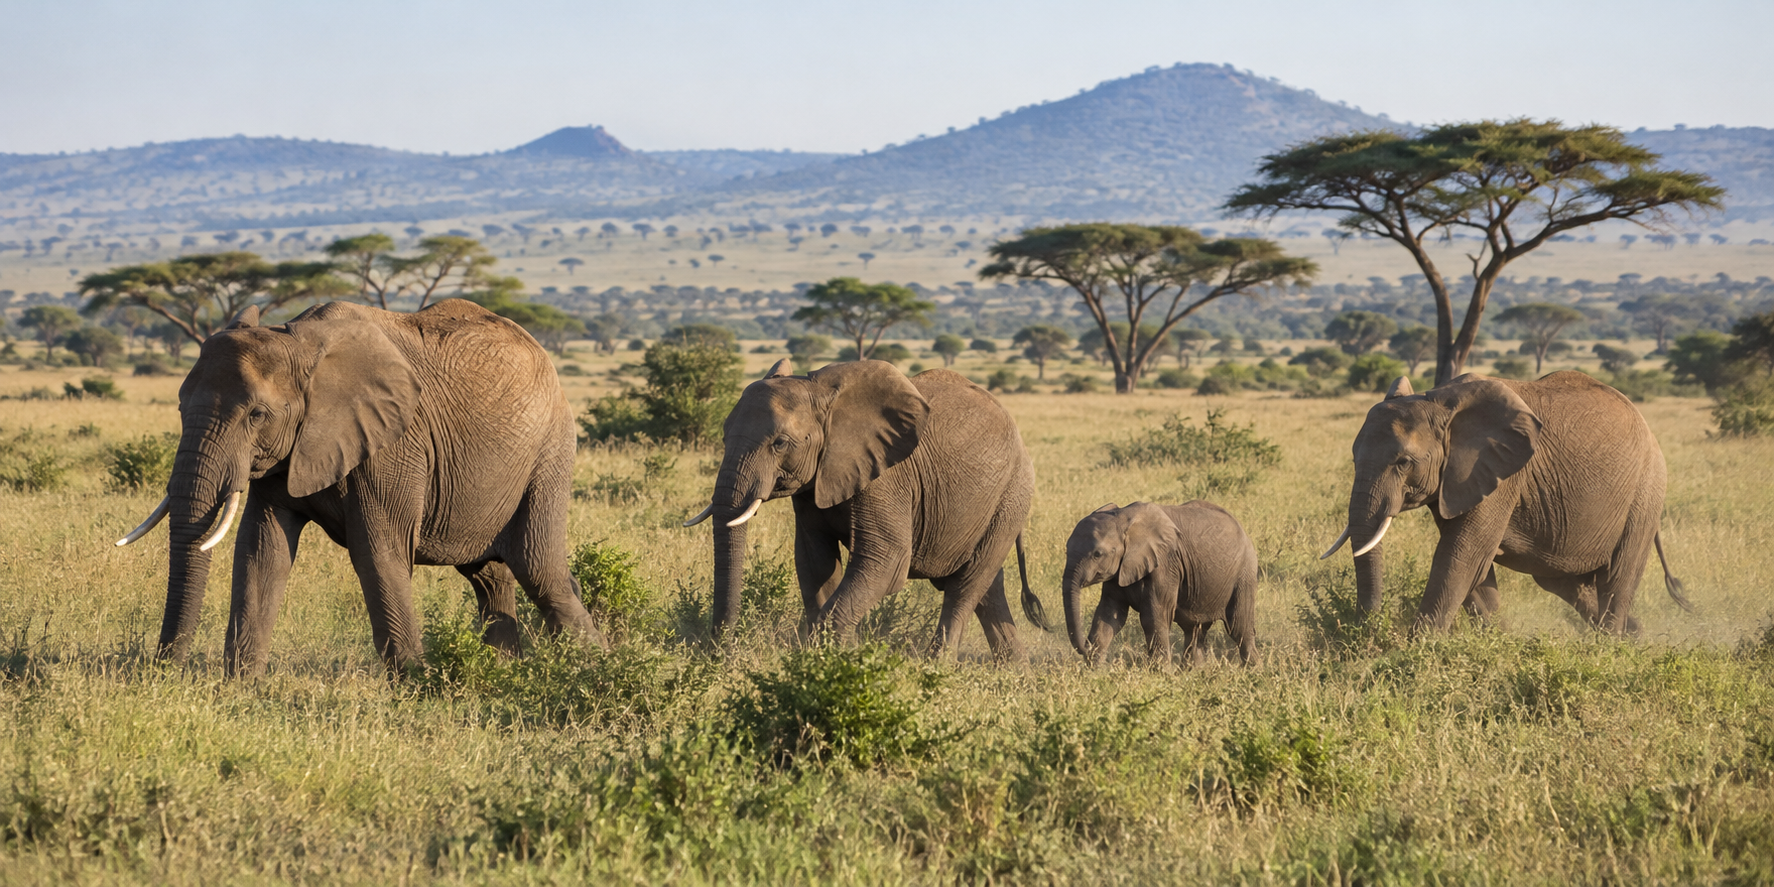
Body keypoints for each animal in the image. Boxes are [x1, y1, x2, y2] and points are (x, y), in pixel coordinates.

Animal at [114, 300, 604, 676]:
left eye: (256, 414)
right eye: (180, 405)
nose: (164, 671)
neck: (299, 342)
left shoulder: (393, 445)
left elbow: (378, 552)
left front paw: (415, 689)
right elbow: (261, 548)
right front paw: (240, 688)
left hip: (550, 452)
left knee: (541, 571)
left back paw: (598, 666)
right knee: (492, 577)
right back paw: (505, 672)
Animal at [684, 359, 1046, 659]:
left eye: (780, 444)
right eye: (723, 437)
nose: (721, 652)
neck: (823, 397)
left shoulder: (886, 477)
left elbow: (886, 561)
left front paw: (836, 658)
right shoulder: (814, 482)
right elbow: (814, 561)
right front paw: (841, 656)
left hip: (1011, 496)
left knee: (966, 585)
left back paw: (936, 668)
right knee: (987, 588)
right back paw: (1016, 671)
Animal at [1060, 501, 1259, 666]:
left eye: (1097, 554)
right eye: (1066, 551)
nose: (1085, 648)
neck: (1122, 518)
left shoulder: (1165, 564)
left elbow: (1154, 615)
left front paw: (1161, 674)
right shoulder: (1119, 570)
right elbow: (1109, 614)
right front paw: (1093, 672)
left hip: (1244, 574)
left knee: (1239, 628)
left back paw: (1253, 672)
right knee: (1195, 630)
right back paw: (1193, 673)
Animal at [1321, 372, 1691, 634]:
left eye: (1403, 463)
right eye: (1353, 459)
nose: (1367, 627)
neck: (1439, 401)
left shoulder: (1500, 474)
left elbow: (1462, 554)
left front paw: (1418, 648)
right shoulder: (1457, 480)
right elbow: (1473, 566)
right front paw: (1499, 641)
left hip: (1645, 494)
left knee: (1617, 580)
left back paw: (1611, 646)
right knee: (1565, 583)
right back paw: (1634, 634)